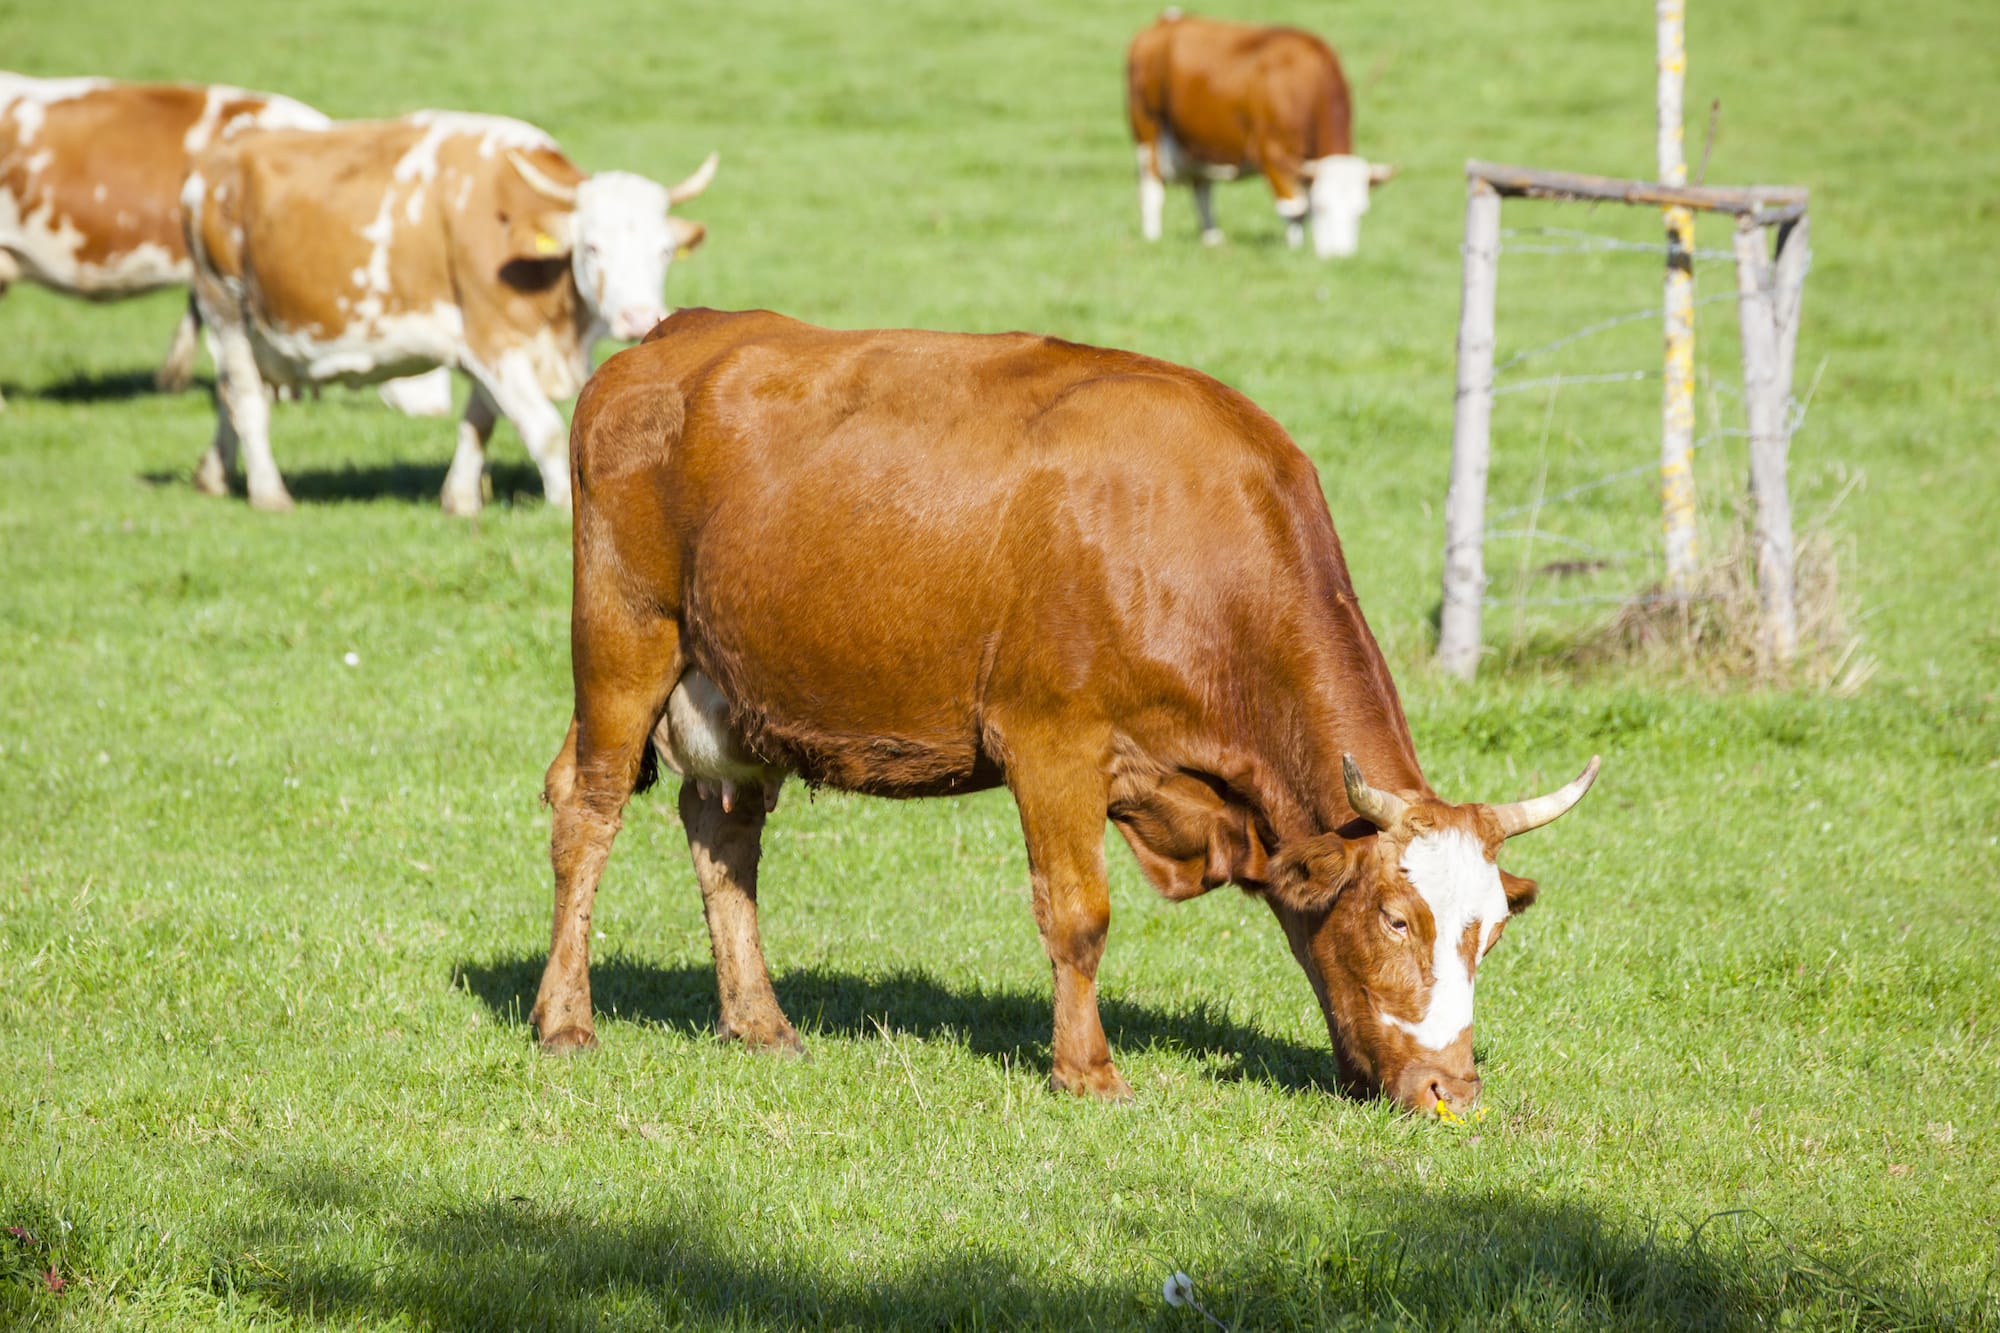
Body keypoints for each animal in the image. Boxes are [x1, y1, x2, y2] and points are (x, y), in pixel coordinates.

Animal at [178, 111, 712, 508]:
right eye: (593, 247)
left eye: (665, 250)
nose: (637, 316)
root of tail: (211, 167)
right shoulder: (493, 340)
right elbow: (541, 427)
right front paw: (564, 502)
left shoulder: (487, 346)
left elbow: (479, 421)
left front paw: (460, 499)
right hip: (225, 306)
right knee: (246, 399)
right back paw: (269, 494)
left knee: (228, 395)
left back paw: (214, 475)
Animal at [532, 306, 1592, 1104]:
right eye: (1396, 918)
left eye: (1491, 930)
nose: (1451, 1090)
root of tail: (673, 336)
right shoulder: (1051, 743)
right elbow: (1078, 914)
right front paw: (1087, 1072)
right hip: (624, 641)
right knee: (586, 809)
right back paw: (566, 1019)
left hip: (730, 687)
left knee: (724, 834)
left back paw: (758, 1021)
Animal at [1128, 11, 1392, 256]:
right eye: (1322, 207)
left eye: (1360, 212)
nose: (1339, 257)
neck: (1306, 81)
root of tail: (1169, 19)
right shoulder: (1271, 152)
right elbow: (1295, 208)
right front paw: (1296, 252)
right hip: (1148, 131)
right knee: (1152, 190)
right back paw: (1153, 238)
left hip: (1196, 142)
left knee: (1202, 188)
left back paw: (1212, 238)